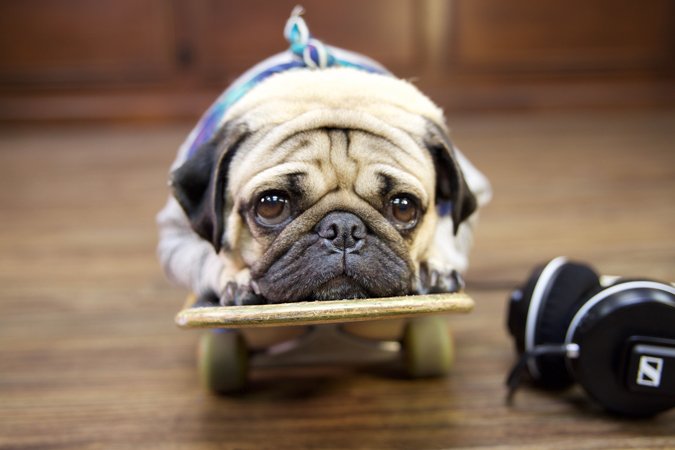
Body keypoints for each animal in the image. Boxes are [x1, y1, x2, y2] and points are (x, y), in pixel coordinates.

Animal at [158, 14, 492, 306]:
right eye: (271, 205)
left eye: (403, 207)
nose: (343, 229)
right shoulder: (175, 236)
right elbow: (209, 256)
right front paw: (235, 276)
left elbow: (448, 231)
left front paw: (435, 264)